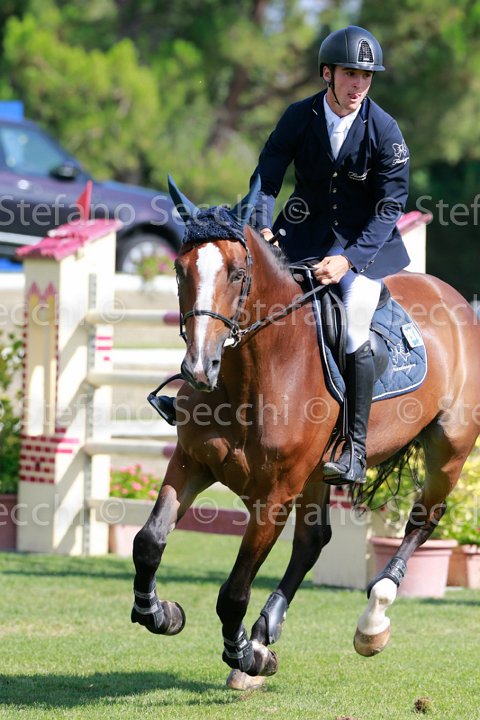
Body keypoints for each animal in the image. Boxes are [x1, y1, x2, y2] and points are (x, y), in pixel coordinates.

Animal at [131, 178, 480, 690]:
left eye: (237, 273)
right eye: (179, 270)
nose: (198, 368)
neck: (252, 375)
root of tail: (455, 300)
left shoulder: (274, 495)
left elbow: (233, 591)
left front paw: (244, 656)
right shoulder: (191, 462)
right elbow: (149, 542)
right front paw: (160, 612)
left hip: (448, 449)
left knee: (424, 519)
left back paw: (372, 621)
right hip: (317, 473)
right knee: (314, 541)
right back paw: (265, 631)